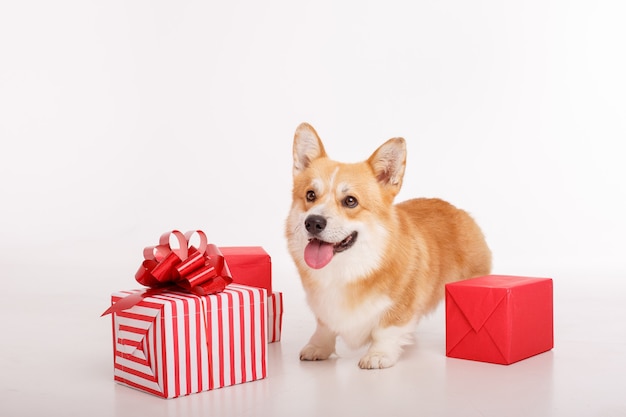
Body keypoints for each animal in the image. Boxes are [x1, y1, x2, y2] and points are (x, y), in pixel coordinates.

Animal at [284, 122, 492, 368]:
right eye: (310, 195)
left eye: (350, 201)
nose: (313, 222)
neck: (347, 268)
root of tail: (458, 210)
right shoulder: (322, 307)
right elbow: (324, 327)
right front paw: (318, 347)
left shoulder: (400, 304)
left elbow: (386, 330)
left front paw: (378, 355)